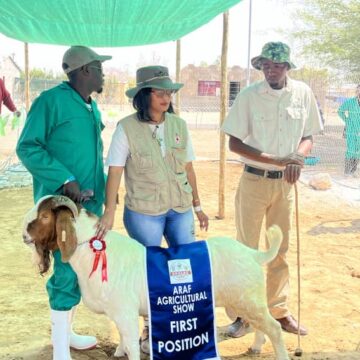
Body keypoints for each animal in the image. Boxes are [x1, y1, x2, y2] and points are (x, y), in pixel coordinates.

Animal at [22, 197, 292, 360]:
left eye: (44, 217)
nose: (23, 233)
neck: (94, 249)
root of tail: (254, 254)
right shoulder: (119, 313)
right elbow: (123, 340)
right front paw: (118, 351)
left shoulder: (125, 312)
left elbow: (131, 344)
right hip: (246, 302)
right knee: (261, 326)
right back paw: (255, 347)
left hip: (249, 300)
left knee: (275, 328)